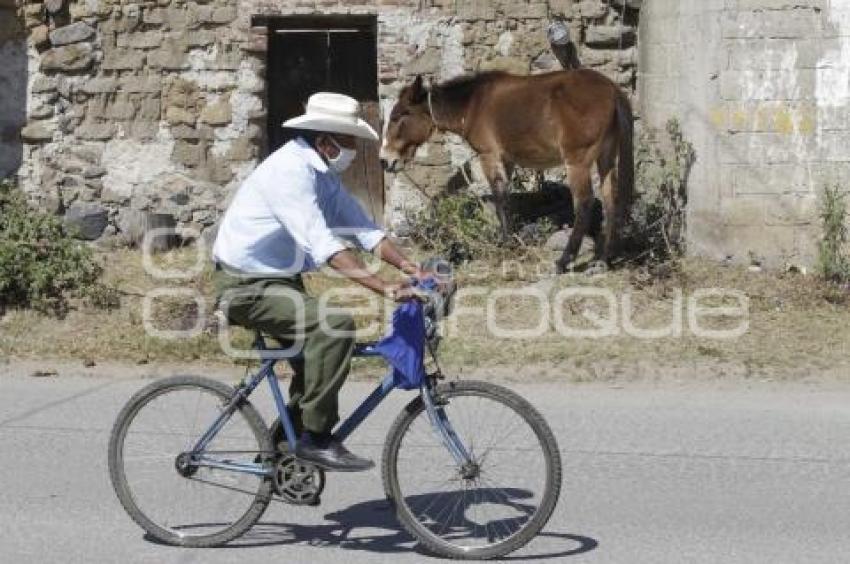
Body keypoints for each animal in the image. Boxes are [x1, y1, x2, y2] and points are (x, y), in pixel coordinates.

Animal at [380, 70, 632, 274]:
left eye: (398, 116)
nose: (385, 161)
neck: (472, 104)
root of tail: (612, 89)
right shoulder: (507, 160)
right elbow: (506, 200)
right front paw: (511, 240)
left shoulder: (489, 156)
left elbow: (499, 198)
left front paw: (505, 245)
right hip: (606, 158)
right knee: (611, 200)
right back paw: (603, 260)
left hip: (577, 163)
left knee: (584, 203)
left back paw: (564, 261)